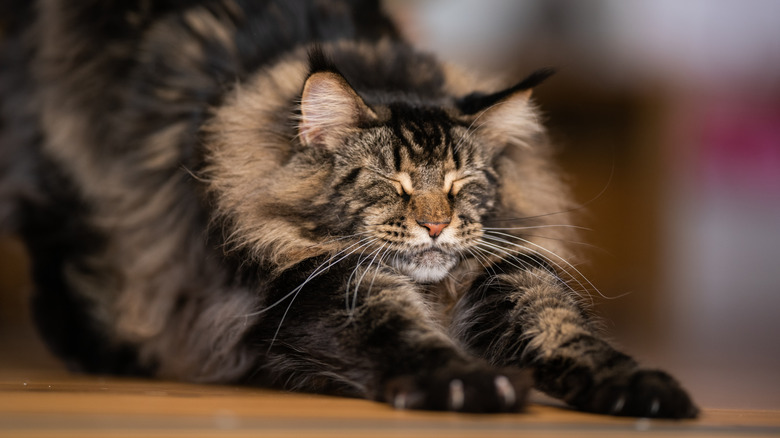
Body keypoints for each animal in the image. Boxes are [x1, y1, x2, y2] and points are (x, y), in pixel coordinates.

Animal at [0, 0, 696, 418]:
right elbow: (400, 331)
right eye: (391, 182)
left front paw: (642, 388)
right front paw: (466, 381)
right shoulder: (321, 286)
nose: (436, 224)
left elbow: (562, 328)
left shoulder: (511, 271)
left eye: (461, 183)